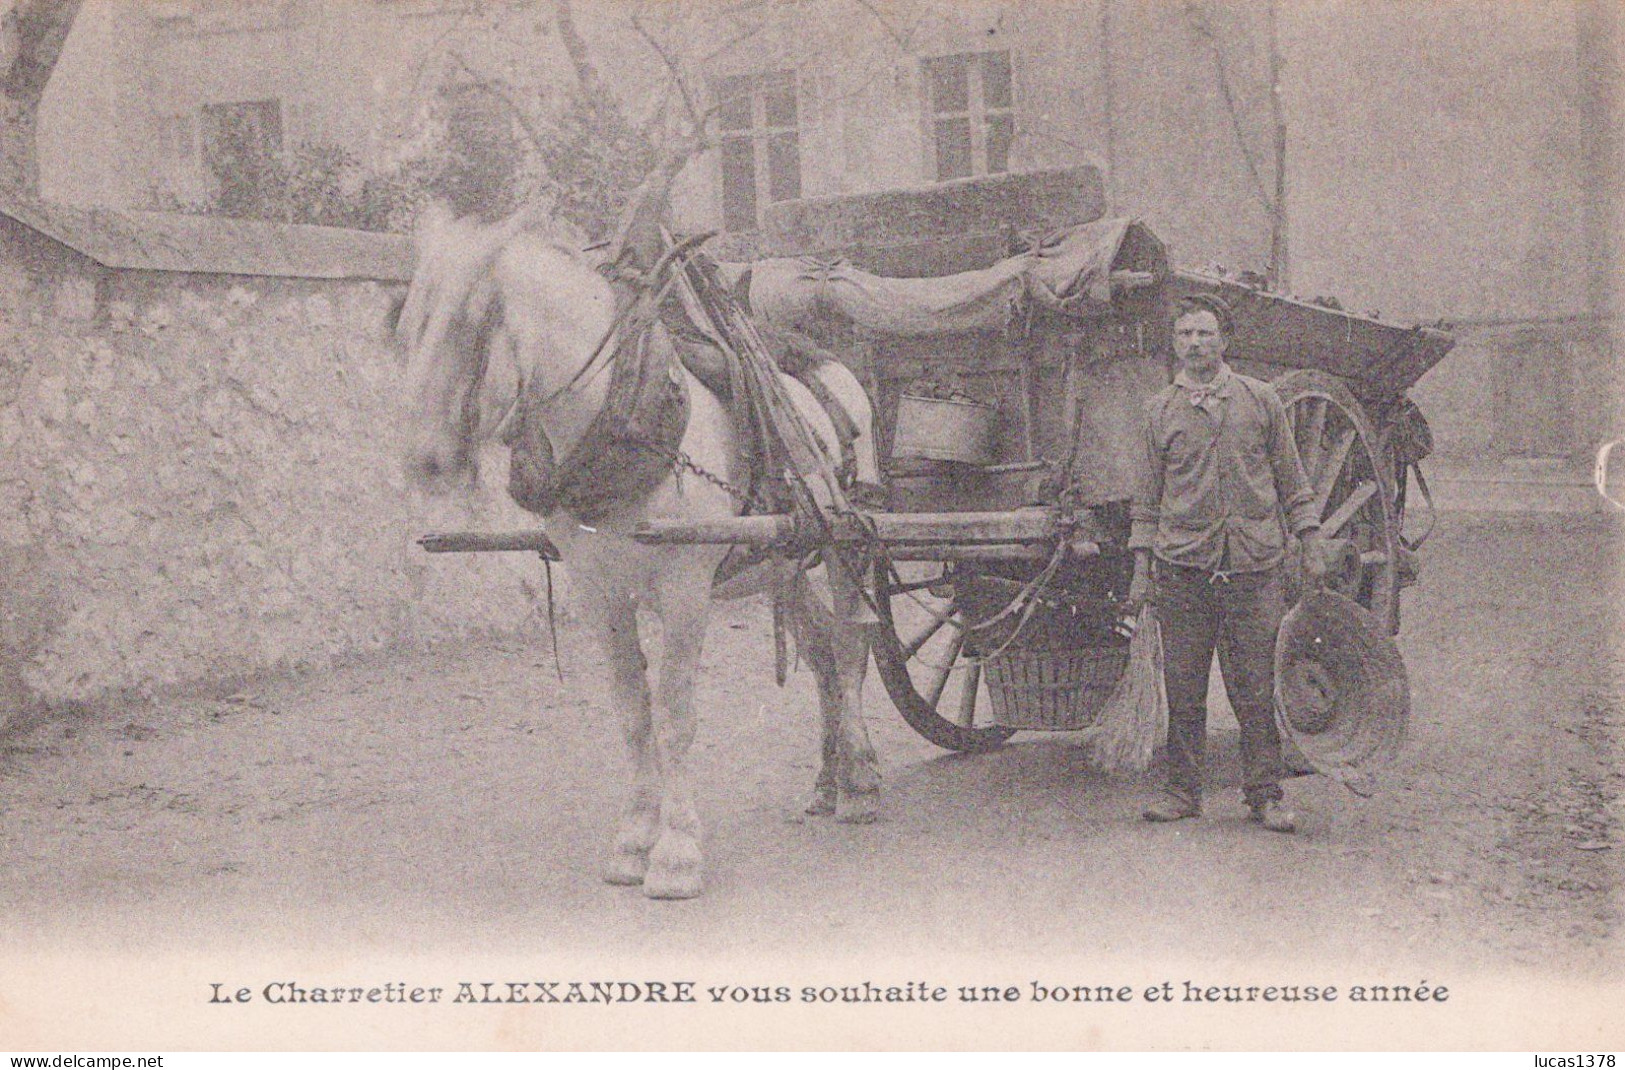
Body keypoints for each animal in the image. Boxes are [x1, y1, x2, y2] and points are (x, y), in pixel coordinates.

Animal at [398, 204, 884, 897]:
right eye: (406, 323)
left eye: (472, 320)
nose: (423, 459)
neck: (625, 416)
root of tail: (833, 365)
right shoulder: (600, 593)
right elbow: (632, 711)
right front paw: (633, 841)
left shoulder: (684, 590)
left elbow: (676, 713)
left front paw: (677, 853)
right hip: (783, 562)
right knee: (819, 653)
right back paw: (827, 780)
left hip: (847, 546)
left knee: (848, 649)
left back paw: (861, 781)